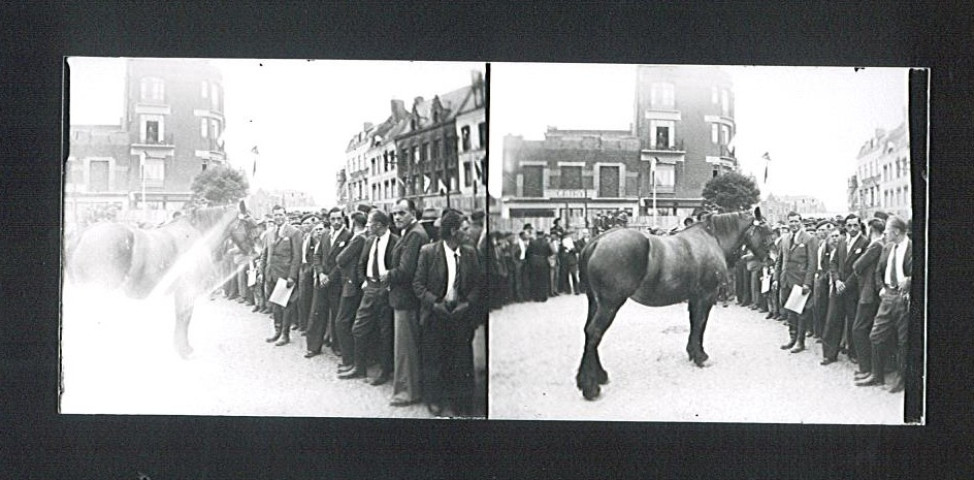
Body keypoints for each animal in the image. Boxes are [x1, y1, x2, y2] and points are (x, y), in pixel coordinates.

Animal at [67, 201, 264, 358]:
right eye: (249, 223)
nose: (258, 252)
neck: (198, 234)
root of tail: (81, 236)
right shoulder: (187, 289)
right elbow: (184, 316)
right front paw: (183, 349)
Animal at [576, 208, 772, 400]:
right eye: (765, 230)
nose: (771, 260)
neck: (712, 239)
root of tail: (596, 242)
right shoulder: (706, 296)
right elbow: (700, 323)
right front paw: (700, 356)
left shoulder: (695, 297)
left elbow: (694, 323)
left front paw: (692, 352)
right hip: (610, 304)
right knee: (594, 332)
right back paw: (590, 387)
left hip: (595, 302)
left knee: (588, 331)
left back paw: (598, 376)